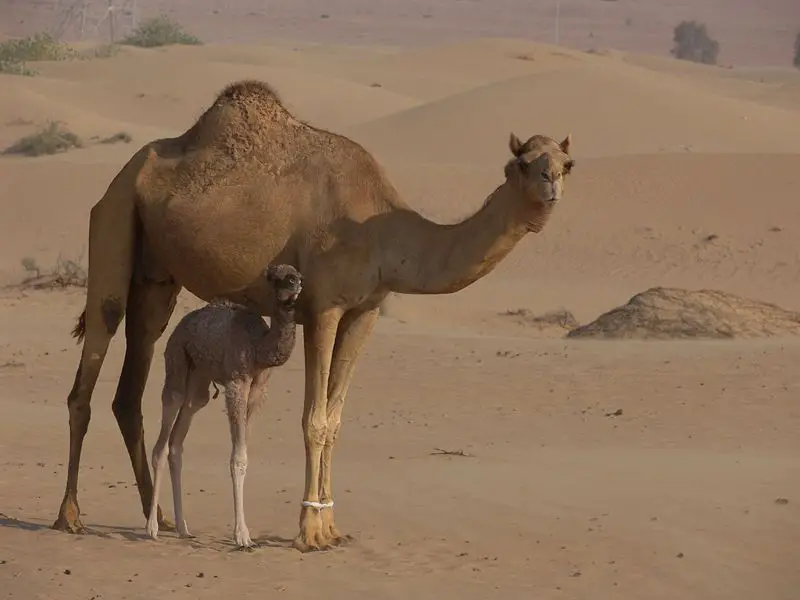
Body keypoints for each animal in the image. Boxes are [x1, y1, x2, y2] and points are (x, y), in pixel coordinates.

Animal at [146, 264, 302, 549]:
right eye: (276, 277)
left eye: (296, 274)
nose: (296, 283)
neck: (258, 346)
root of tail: (181, 325)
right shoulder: (236, 384)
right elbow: (238, 458)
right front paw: (242, 536)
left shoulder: (258, 392)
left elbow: (244, 454)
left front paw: (242, 533)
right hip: (176, 360)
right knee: (163, 435)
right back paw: (151, 527)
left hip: (199, 380)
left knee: (178, 440)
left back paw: (184, 528)